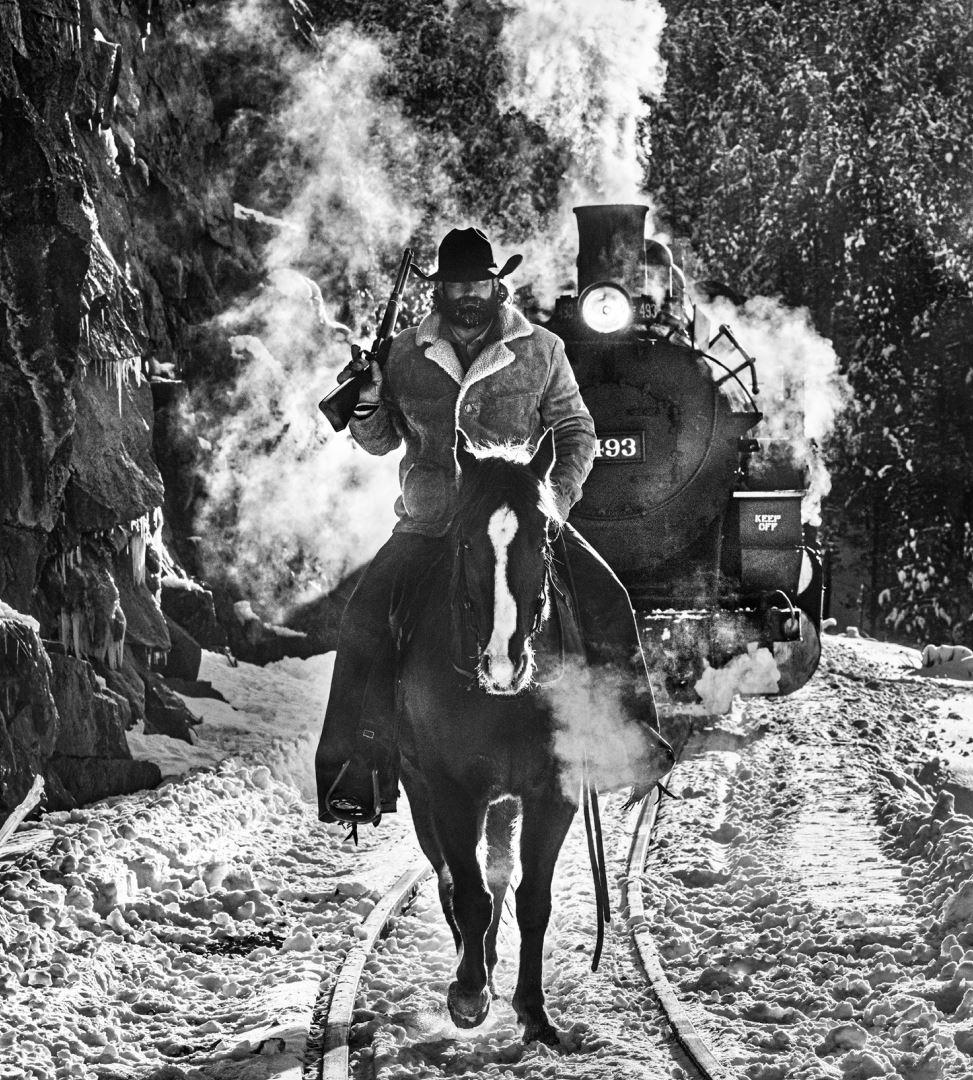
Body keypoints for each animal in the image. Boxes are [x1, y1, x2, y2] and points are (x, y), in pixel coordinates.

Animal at [397, 429, 609, 1045]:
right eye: (465, 538)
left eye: (545, 535)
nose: (503, 662)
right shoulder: (450, 791)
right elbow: (466, 890)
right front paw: (469, 994)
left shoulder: (553, 792)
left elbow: (531, 897)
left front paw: (533, 1011)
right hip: (423, 793)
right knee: (454, 879)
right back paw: (475, 972)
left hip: (504, 802)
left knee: (497, 872)